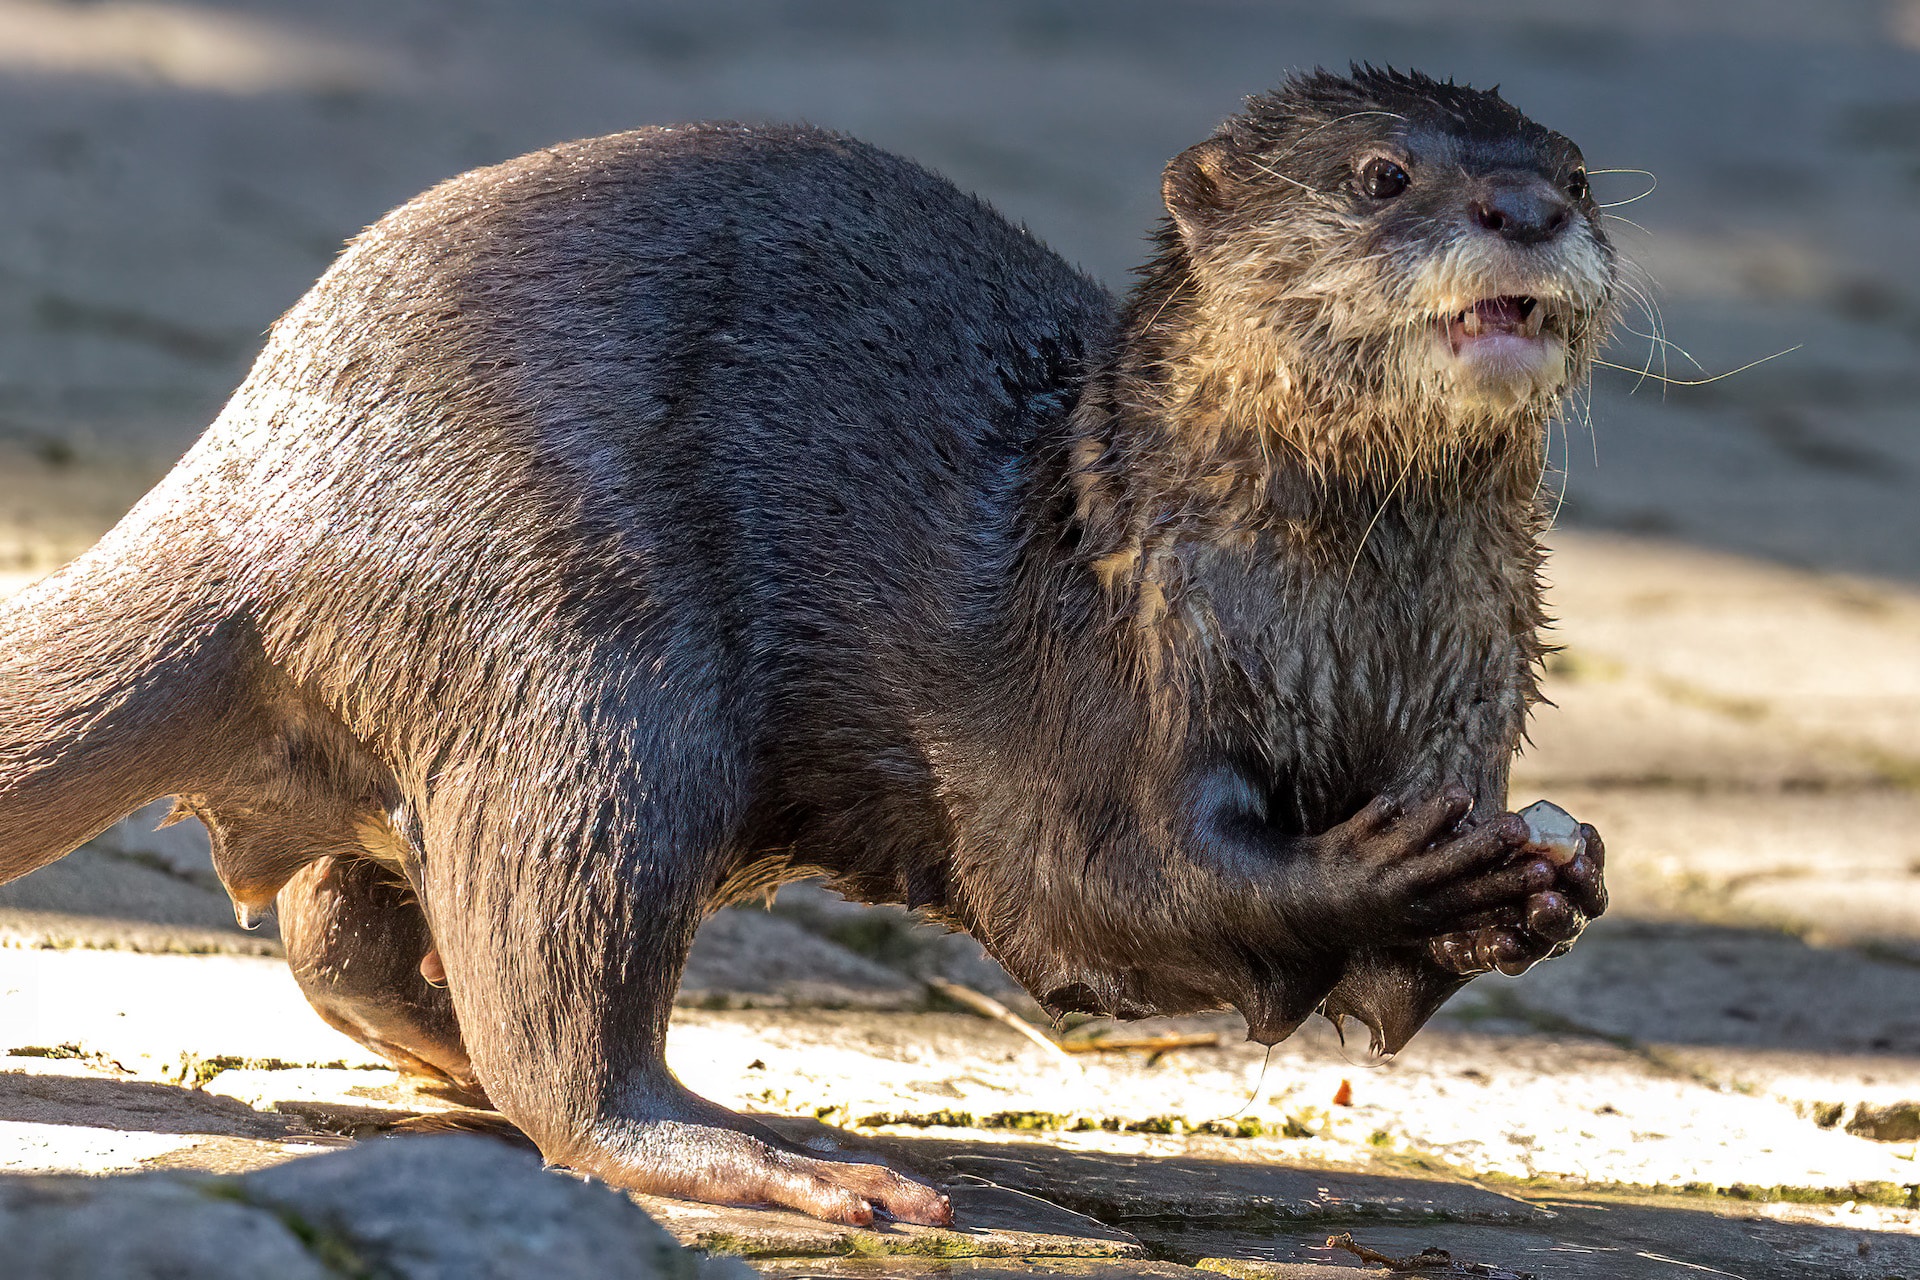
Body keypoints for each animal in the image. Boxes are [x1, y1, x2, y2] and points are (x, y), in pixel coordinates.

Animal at [0, 65, 1612, 1228]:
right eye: (1383, 176)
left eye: (1582, 172)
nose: (1527, 205)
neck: (1343, 636)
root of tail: (259, 473)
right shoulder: (1108, 693)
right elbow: (1106, 888)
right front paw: (1398, 867)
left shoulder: (1470, 701)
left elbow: (1379, 1001)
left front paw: (1551, 874)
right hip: (586, 670)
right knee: (560, 1000)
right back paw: (777, 1155)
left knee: (343, 937)